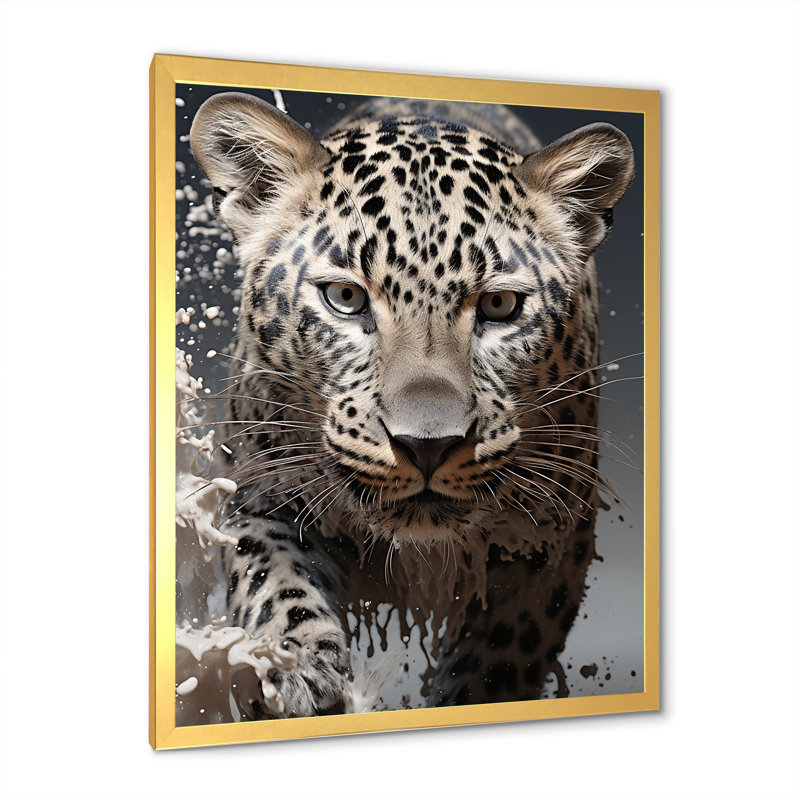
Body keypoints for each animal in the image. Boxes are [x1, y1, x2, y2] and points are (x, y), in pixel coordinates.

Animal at [189, 91, 634, 719]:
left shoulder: (551, 541)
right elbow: (272, 579)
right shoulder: (259, 494)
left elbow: (500, 660)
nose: (427, 447)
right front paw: (299, 667)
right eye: (345, 297)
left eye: (499, 305)